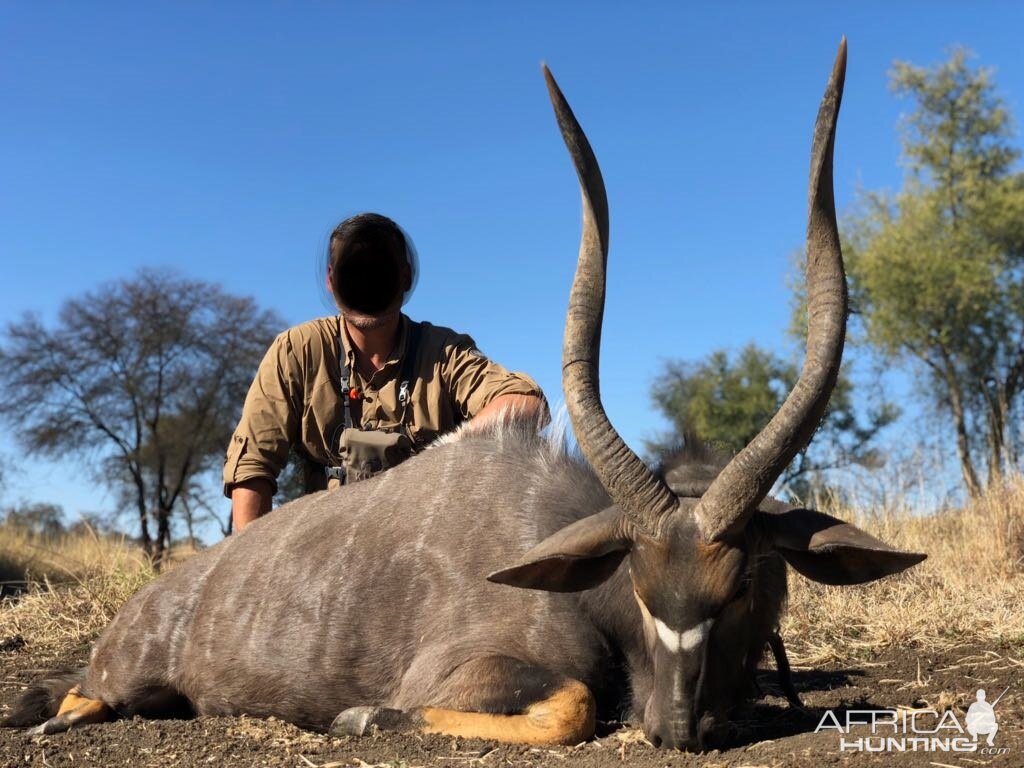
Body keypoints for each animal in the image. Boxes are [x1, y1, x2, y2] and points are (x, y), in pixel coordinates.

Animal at [2, 37, 929, 753]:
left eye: (739, 586)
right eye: (638, 582)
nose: (675, 727)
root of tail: (159, 598)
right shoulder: (471, 667)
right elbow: (573, 704)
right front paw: (362, 716)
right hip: (125, 677)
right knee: (84, 696)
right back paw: (46, 715)